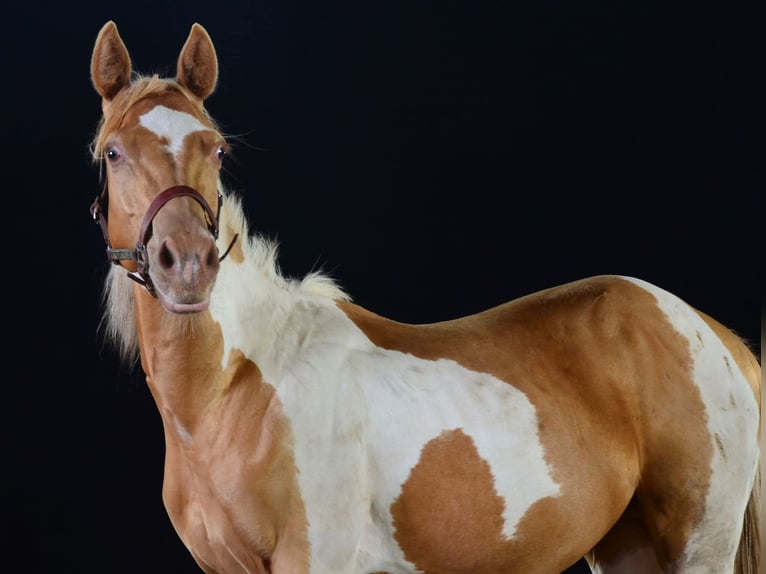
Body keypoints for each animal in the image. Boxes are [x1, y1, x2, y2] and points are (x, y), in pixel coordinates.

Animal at [88, 20, 761, 574]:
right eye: (113, 153)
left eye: (218, 148)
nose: (188, 267)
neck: (238, 388)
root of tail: (714, 335)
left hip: (698, 551)